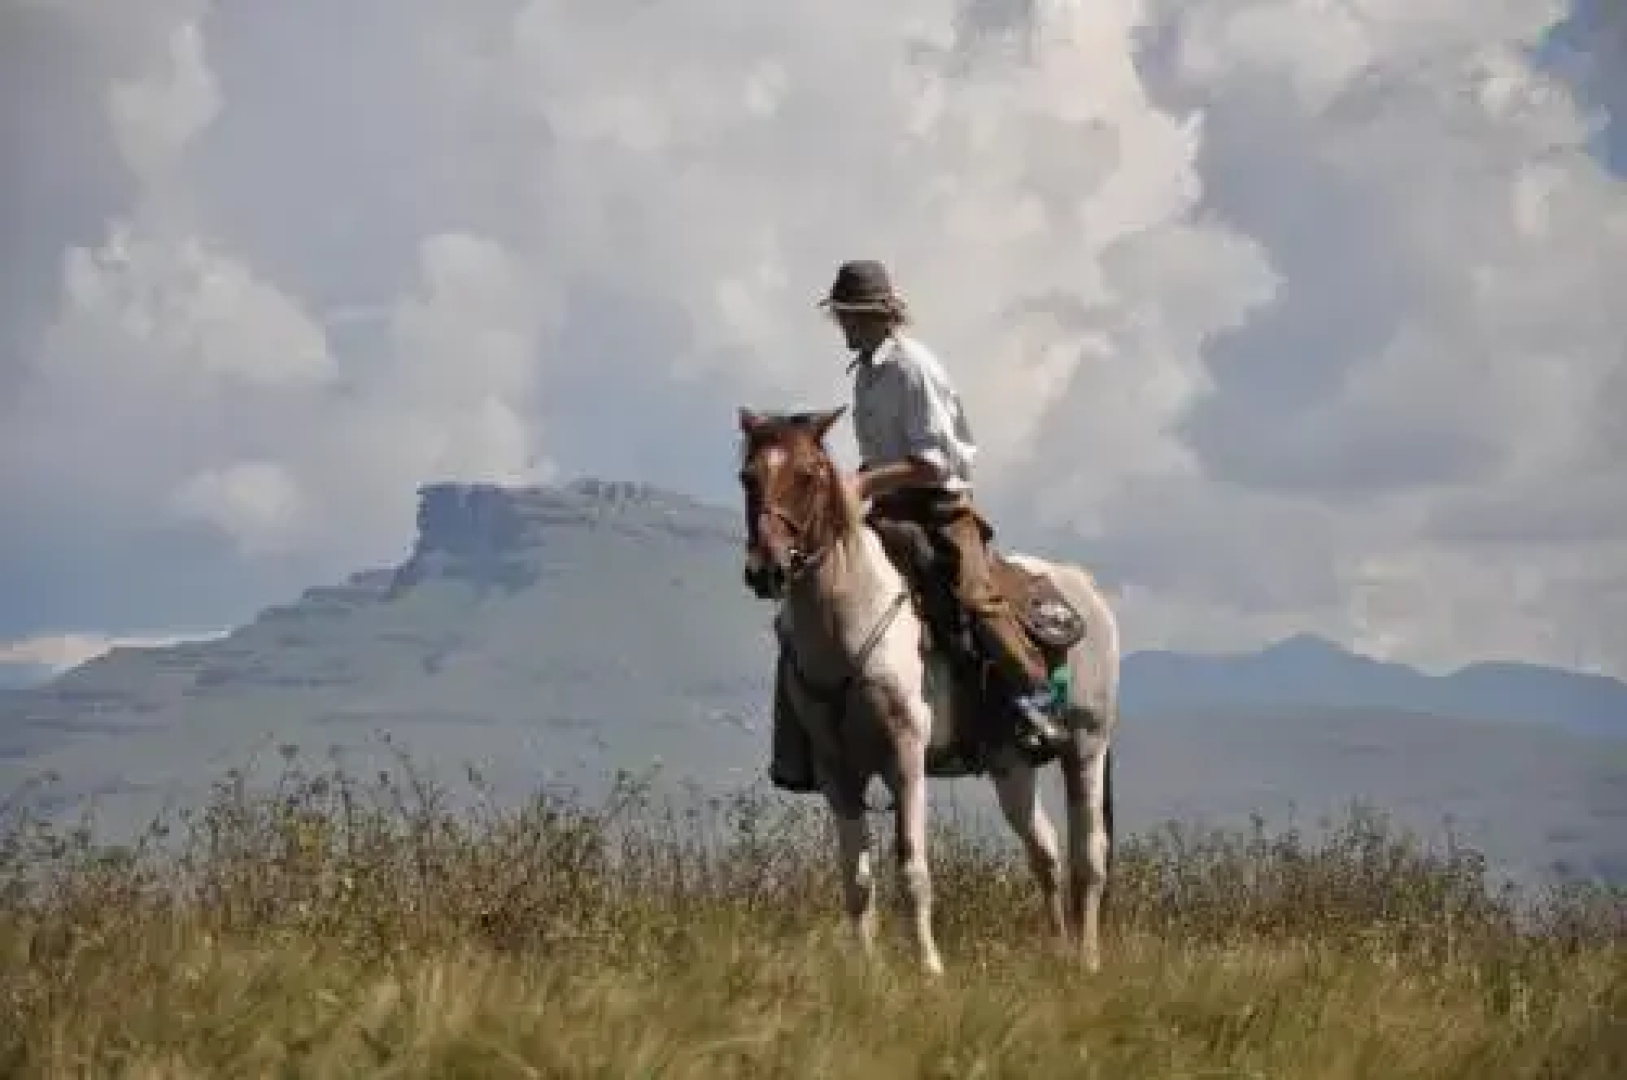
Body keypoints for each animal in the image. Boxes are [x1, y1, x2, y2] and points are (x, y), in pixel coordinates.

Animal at [736, 404, 1121, 975]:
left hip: (1087, 747)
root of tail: (1085, 588)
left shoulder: (906, 755)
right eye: (748, 477)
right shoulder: (835, 770)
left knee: (1089, 857)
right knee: (1045, 851)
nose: (767, 569)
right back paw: (1059, 951)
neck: (849, 620)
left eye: (807, 475)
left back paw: (1089, 960)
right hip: (1010, 763)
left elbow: (912, 868)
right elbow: (856, 880)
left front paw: (930, 969)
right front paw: (868, 972)